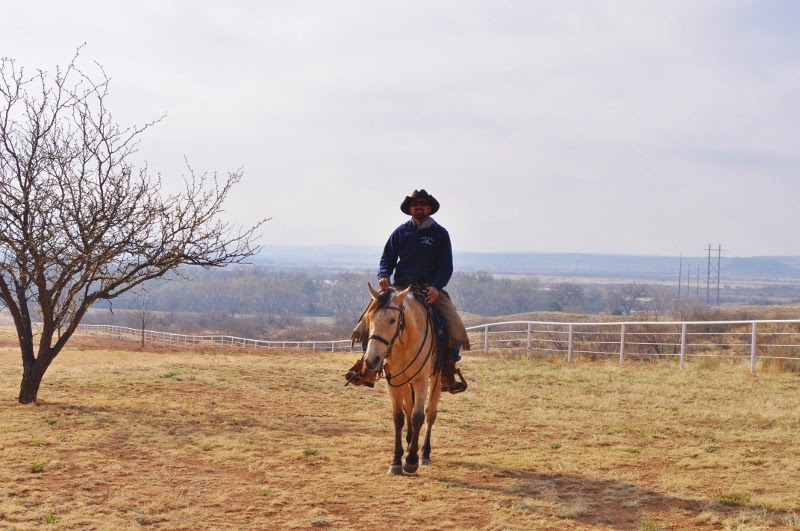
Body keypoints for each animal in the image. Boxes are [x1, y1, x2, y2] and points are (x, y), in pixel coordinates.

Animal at [362, 283, 442, 475]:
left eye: (392, 320)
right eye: (370, 318)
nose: (371, 360)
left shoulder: (421, 380)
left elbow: (419, 416)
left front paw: (411, 460)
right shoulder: (395, 382)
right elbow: (399, 417)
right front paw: (396, 461)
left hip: (436, 378)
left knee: (430, 413)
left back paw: (424, 453)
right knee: (408, 408)